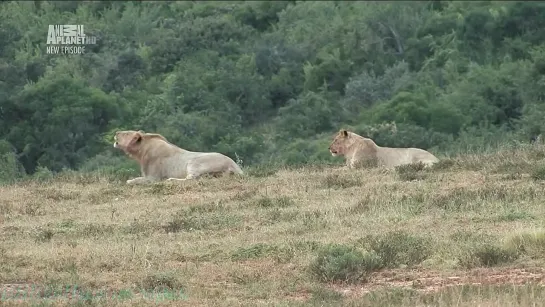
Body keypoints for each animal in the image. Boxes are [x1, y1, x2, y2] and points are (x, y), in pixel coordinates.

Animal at [113, 131, 243, 185]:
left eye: (126, 133)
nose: (116, 132)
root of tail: (234, 165)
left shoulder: (154, 178)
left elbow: (133, 181)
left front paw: (130, 181)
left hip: (194, 162)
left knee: (192, 179)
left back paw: (171, 180)